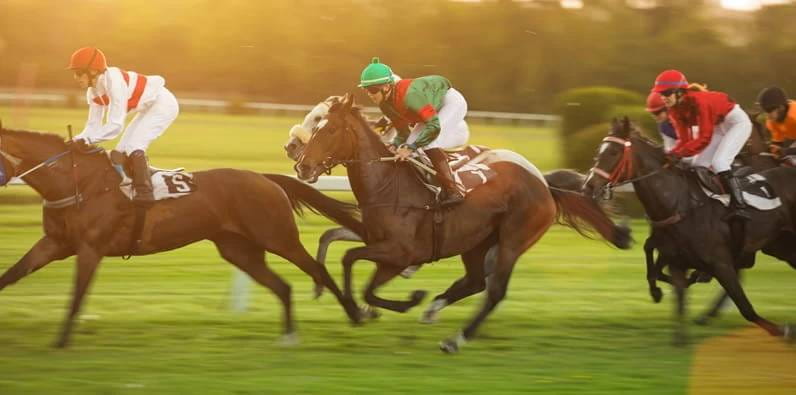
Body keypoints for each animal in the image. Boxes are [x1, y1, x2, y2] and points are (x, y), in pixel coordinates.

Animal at [0, 125, 364, 348]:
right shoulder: (55, 243)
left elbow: (76, 296)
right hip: (239, 250)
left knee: (317, 270)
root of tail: (264, 178)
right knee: (282, 286)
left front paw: (61, 341)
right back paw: (288, 335)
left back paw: (355, 313)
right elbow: (12, 274)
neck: (78, 183)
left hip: (279, 238)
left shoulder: (90, 248)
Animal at [290, 94, 628, 354]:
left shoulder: (400, 254)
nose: (301, 164)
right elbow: (348, 260)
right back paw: (434, 309)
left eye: (330, 128)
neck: (388, 185)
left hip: (512, 241)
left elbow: (357, 269)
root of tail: (543, 184)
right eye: (317, 125)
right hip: (477, 242)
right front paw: (363, 309)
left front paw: (400, 302)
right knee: (476, 281)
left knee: (494, 291)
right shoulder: (382, 248)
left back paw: (456, 339)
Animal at [580, 117, 792, 344]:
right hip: (779, 247)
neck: (682, 204)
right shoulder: (674, 256)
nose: (588, 186)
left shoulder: (721, 262)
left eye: (613, 152)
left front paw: (781, 330)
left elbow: (744, 305)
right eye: (599, 151)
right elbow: (671, 284)